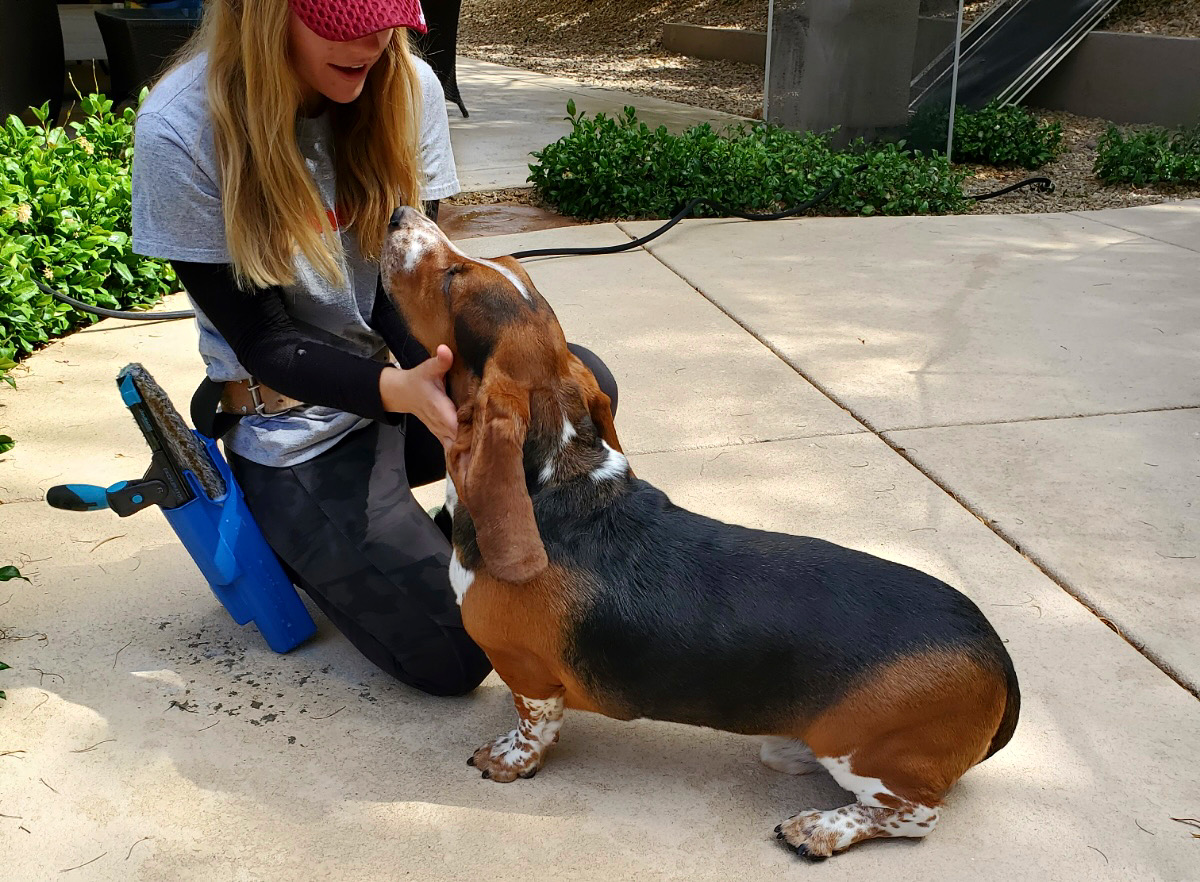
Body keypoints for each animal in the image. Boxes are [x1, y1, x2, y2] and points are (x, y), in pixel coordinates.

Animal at [380, 206, 1019, 859]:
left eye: (453, 279)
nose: (401, 214)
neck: (555, 479)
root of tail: (1000, 664)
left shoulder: (525, 671)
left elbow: (534, 724)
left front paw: (508, 760)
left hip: (870, 757)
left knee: (914, 816)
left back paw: (821, 827)